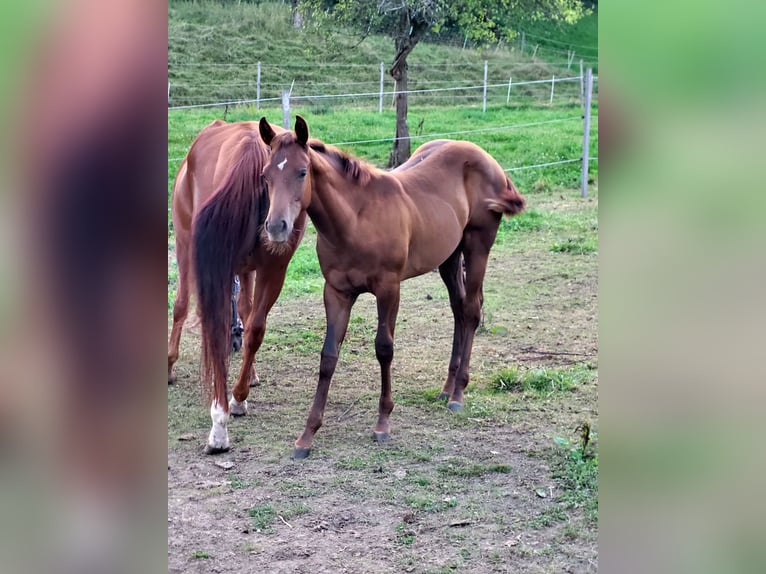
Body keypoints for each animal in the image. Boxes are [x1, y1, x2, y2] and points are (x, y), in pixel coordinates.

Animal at [168, 119, 307, 454]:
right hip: (195, 248)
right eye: (266, 177)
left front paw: (235, 402)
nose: (277, 226)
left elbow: (252, 327)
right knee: (193, 307)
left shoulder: (269, 270)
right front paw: (222, 420)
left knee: (238, 312)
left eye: (302, 172)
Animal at [258, 115, 525, 458]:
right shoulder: (336, 292)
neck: (356, 220)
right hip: (449, 256)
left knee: (472, 309)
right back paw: (447, 388)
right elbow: (328, 356)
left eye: (302, 172)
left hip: (478, 245)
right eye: (265, 175)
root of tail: (489, 160)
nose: (276, 227)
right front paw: (307, 435)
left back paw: (458, 394)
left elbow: (384, 348)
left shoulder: (389, 288)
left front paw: (383, 422)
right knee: (458, 309)